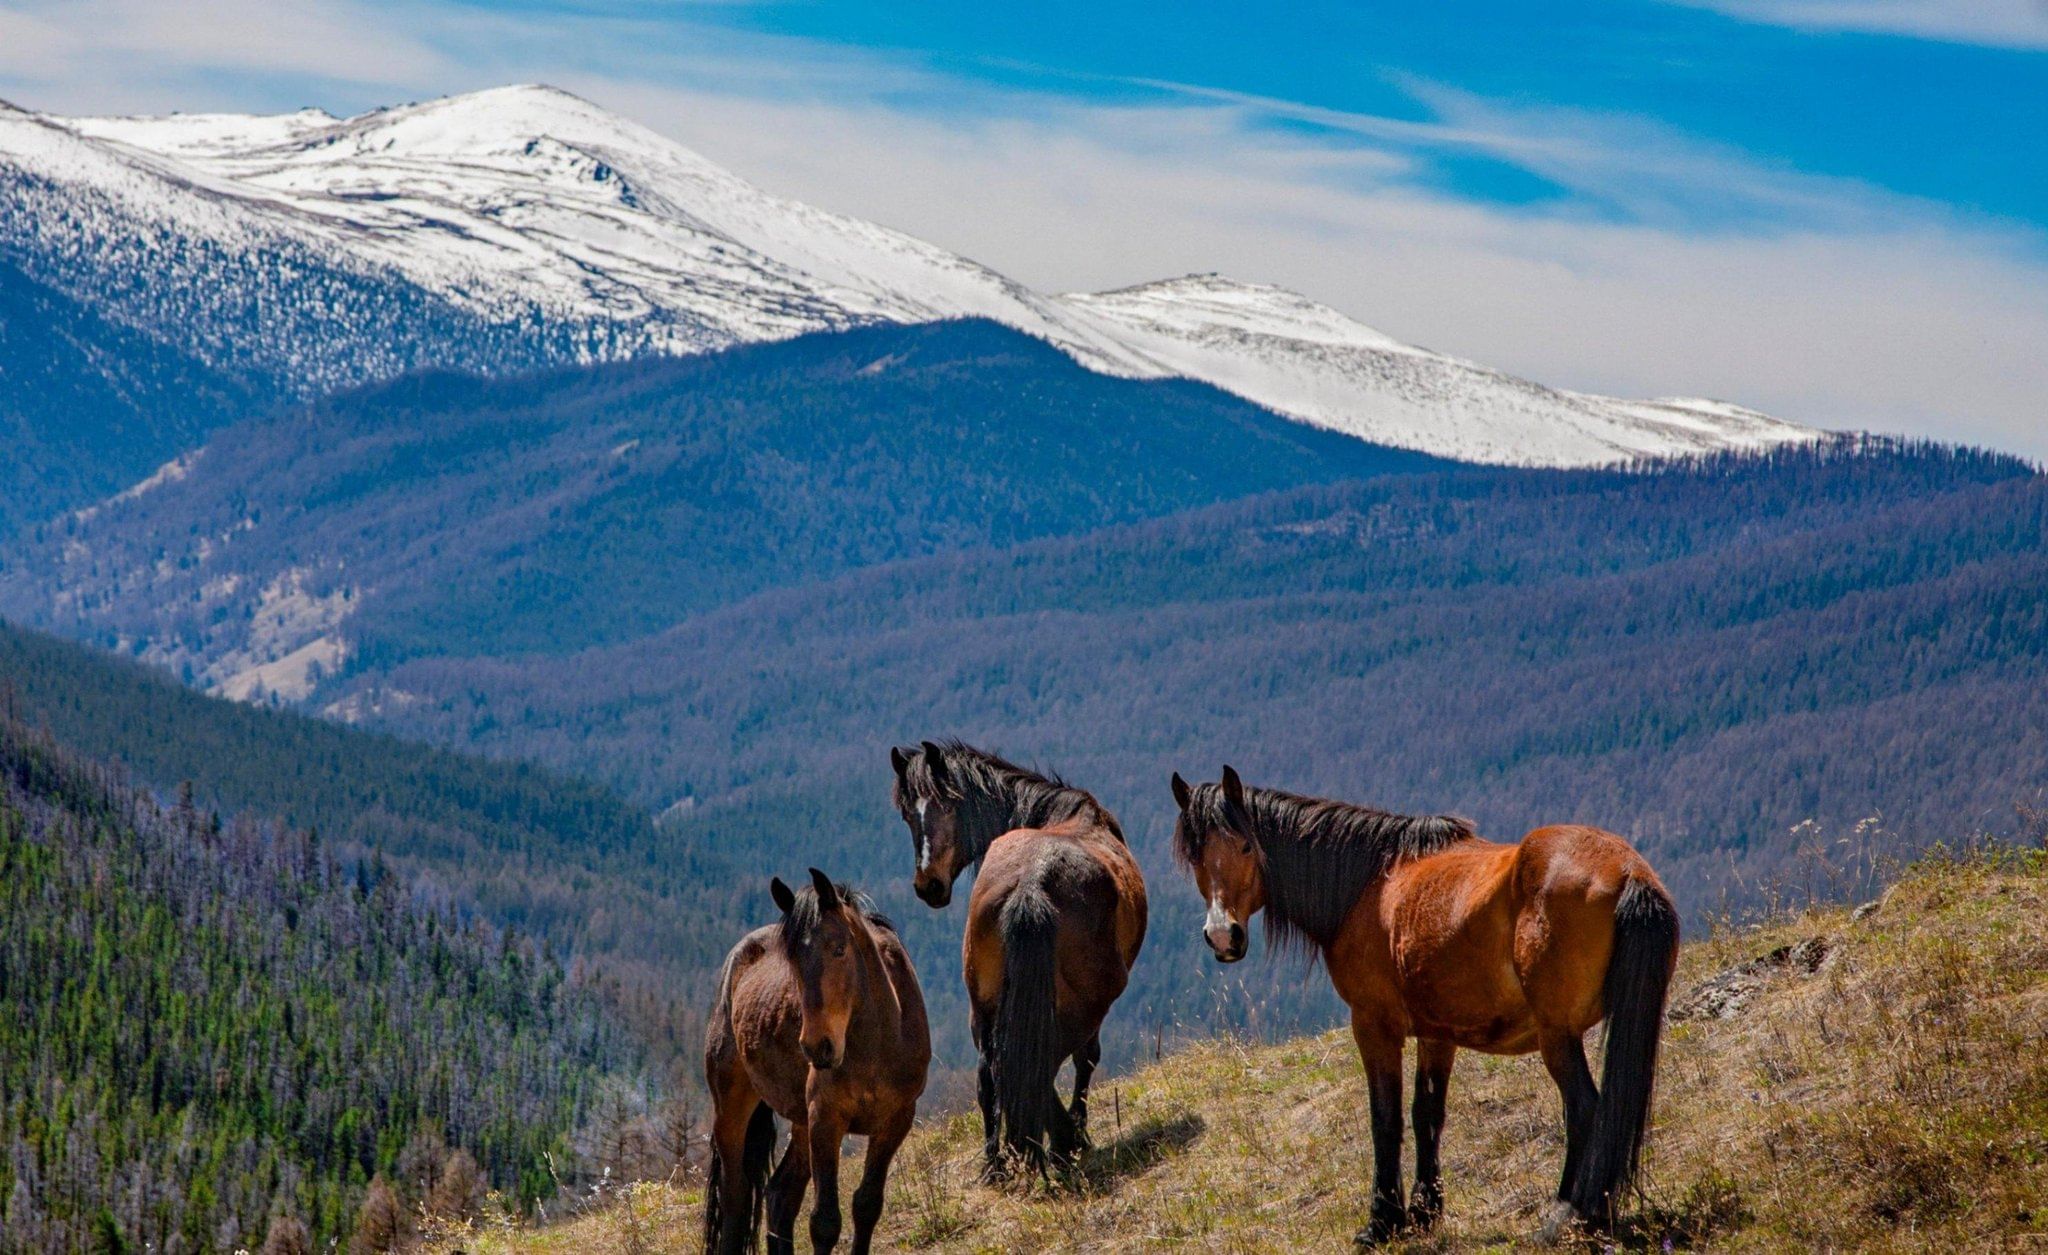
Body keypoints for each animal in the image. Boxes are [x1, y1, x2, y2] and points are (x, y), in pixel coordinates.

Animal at [704, 872, 929, 1252]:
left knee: (779, 1196)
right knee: (735, 1196)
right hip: (732, 1109)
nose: (817, 1046)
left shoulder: (895, 1121)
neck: (877, 1046)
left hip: (800, 1123)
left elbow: (867, 1204)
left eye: (839, 949)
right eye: (792, 959)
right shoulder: (825, 1119)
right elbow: (825, 1221)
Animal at [888, 732, 1146, 1171]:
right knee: (1046, 1062)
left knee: (994, 1069)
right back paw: (1064, 1141)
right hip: (1090, 999)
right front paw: (1075, 1132)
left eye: (946, 805)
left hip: (983, 1003)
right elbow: (1086, 1059)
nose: (929, 886)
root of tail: (1032, 884)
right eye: (907, 815)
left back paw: (1000, 1159)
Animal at [1179, 761, 1671, 1244]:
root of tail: (1630, 874)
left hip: (1558, 1036)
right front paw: (1423, 1212)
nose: (1223, 936)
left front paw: (1382, 1221)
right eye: (1197, 856)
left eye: (1246, 846)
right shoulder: (1438, 1034)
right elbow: (1427, 1115)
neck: (1369, 884)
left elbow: (1386, 1119)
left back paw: (1568, 1216)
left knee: (1586, 1110)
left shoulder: (1374, 1025)